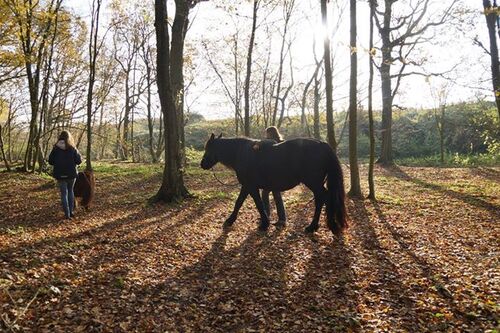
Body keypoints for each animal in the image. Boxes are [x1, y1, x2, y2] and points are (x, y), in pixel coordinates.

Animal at [201, 132, 346, 233]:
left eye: (208, 148)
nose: (202, 164)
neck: (241, 153)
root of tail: (323, 144)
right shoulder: (247, 186)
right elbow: (239, 202)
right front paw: (231, 220)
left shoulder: (251, 186)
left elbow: (258, 204)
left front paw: (264, 224)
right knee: (323, 199)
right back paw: (321, 225)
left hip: (314, 183)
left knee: (323, 198)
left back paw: (316, 226)